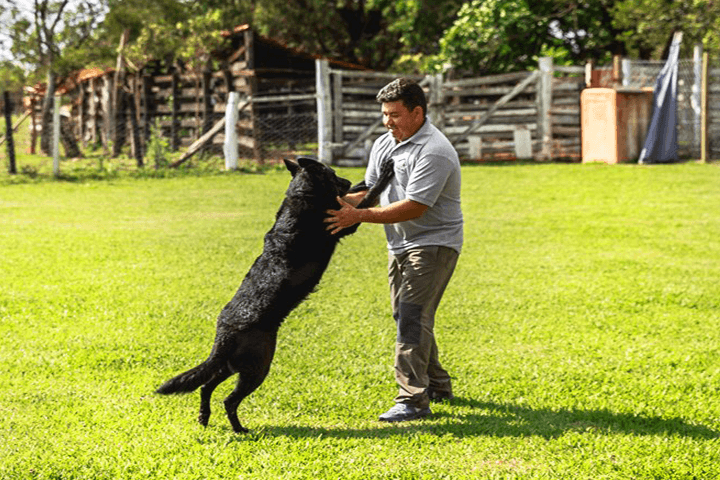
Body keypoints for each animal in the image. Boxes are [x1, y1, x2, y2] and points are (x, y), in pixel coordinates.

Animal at [156, 156, 394, 434]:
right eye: (332, 173)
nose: (346, 180)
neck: (302, 196)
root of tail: (225, 331)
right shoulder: (345, 222)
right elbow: (369, 198)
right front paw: (382, 175)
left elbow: (359, 195)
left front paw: (362, 182)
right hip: (257, 367)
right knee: (229, 400)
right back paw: (240, 429)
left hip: (229, 366)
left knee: (205, 387)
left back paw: (204, 417)